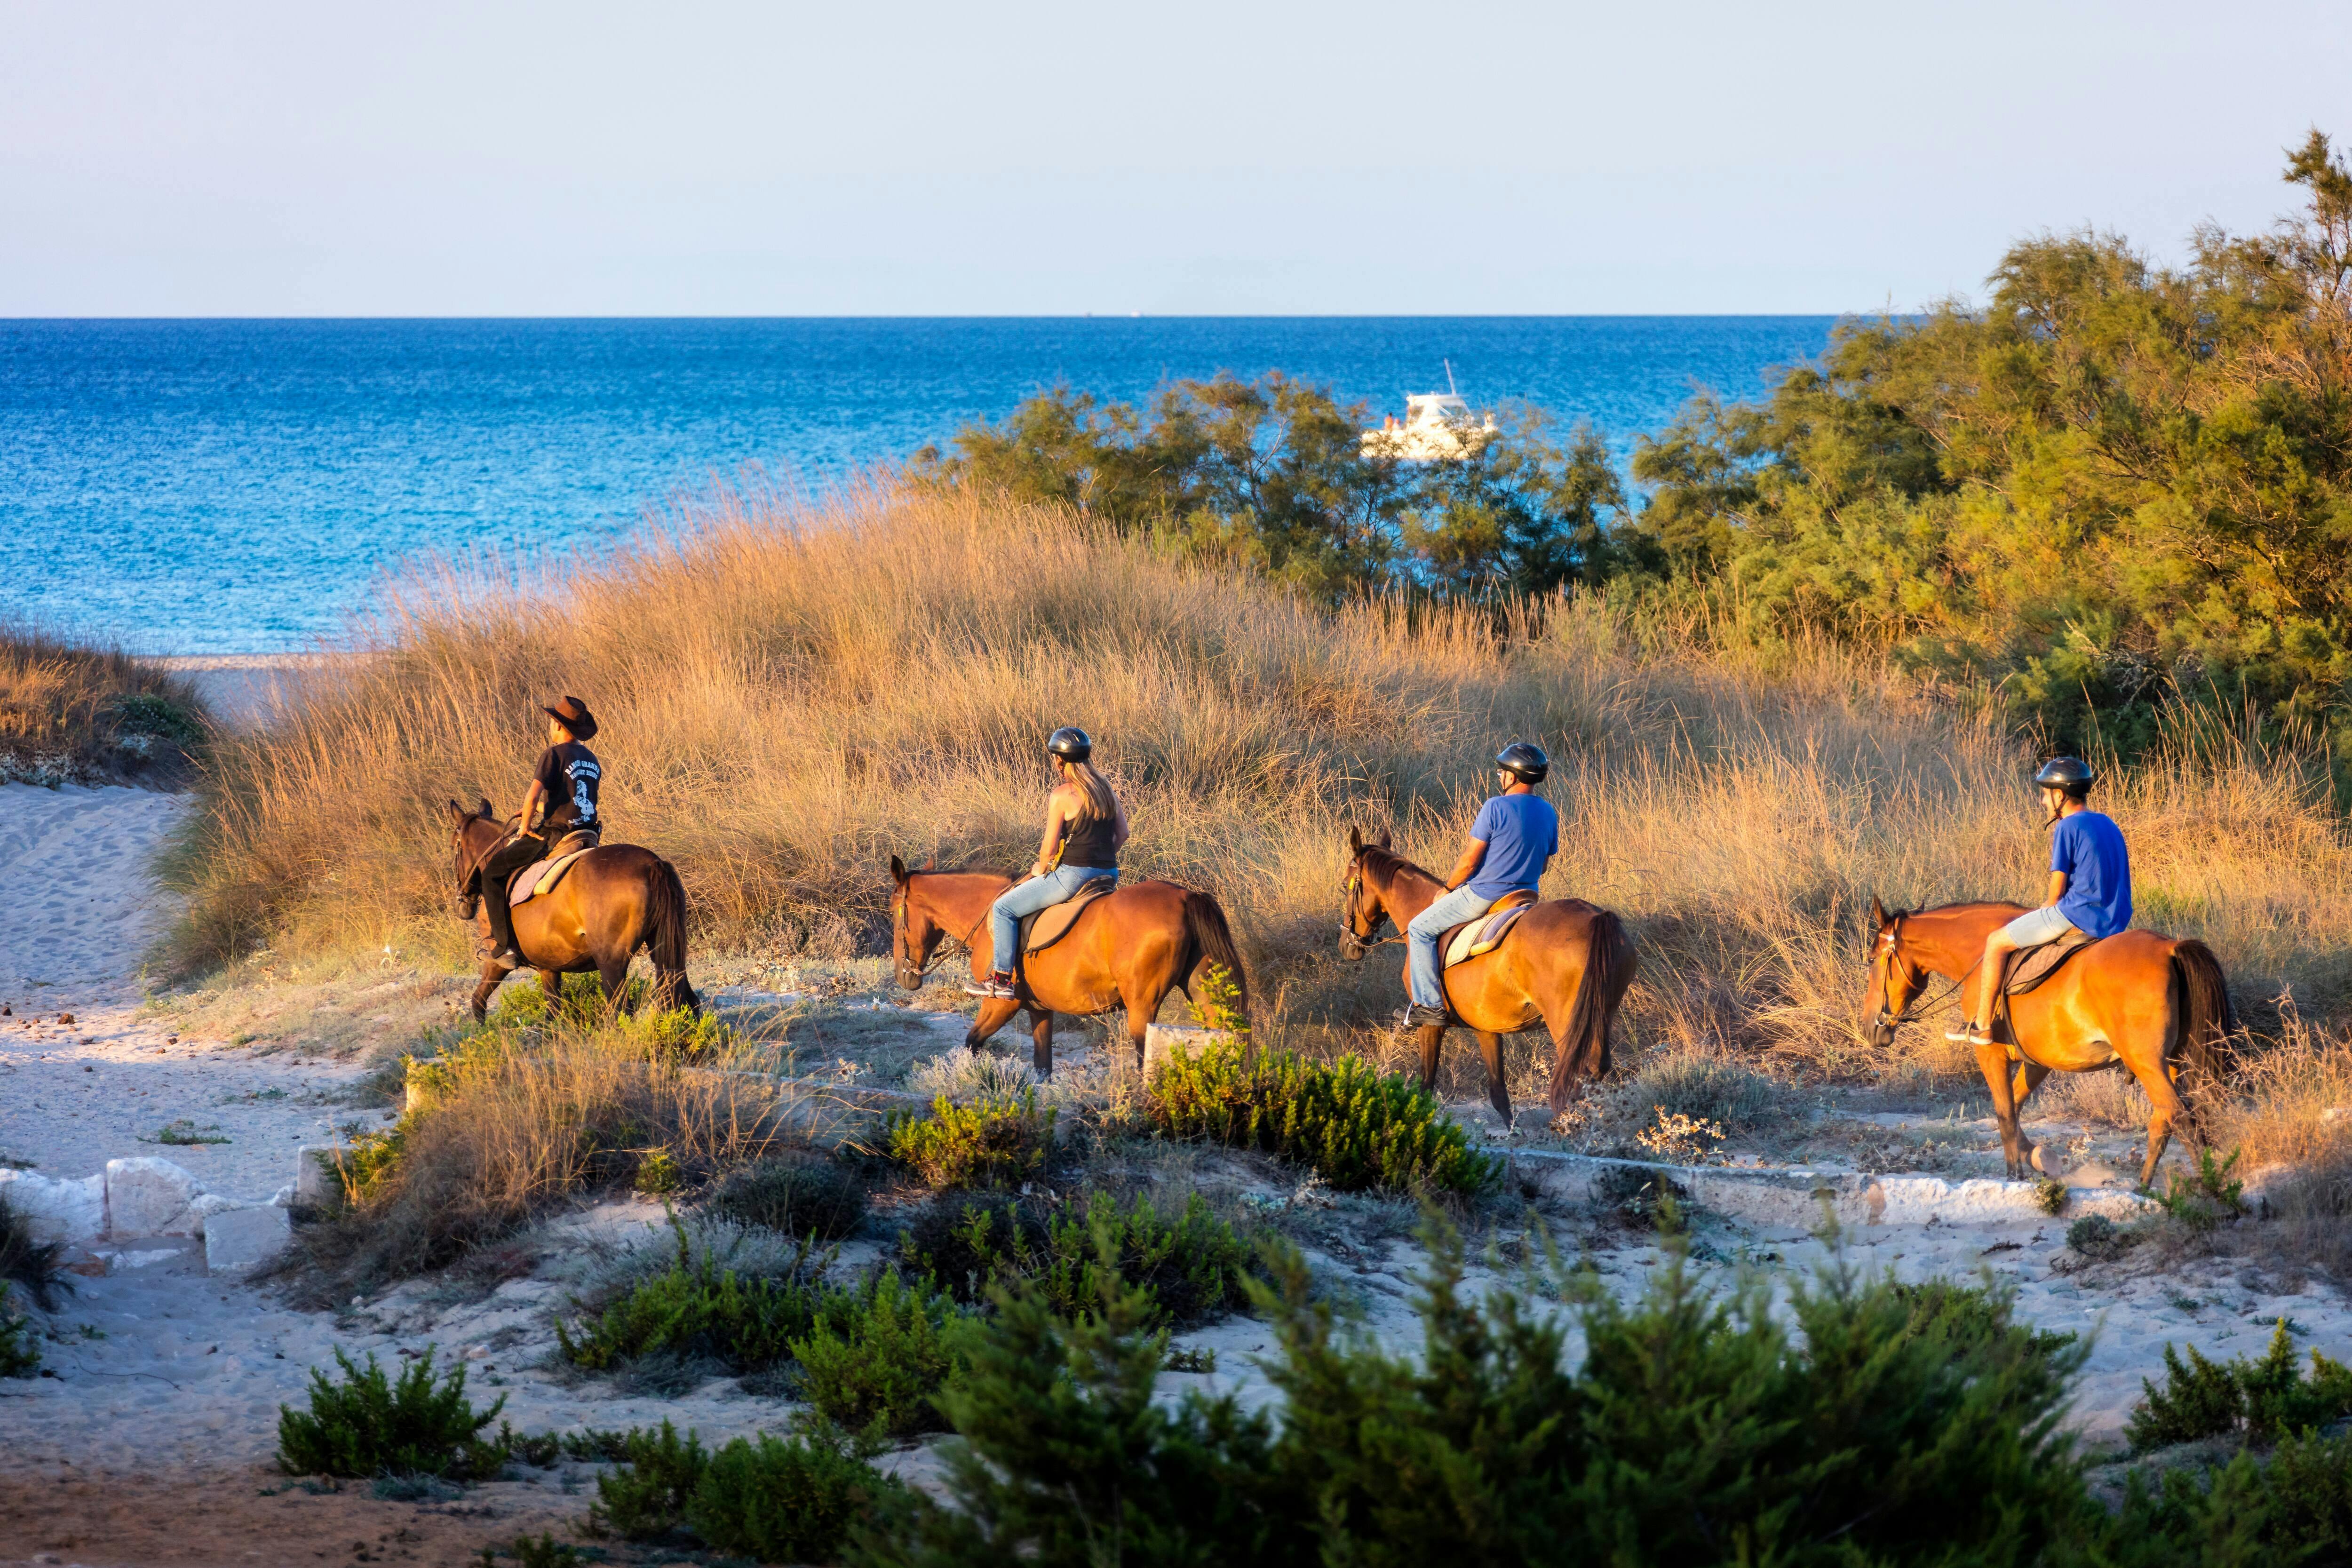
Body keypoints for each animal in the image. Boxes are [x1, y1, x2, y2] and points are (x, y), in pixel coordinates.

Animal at [442, 804, 691, 1025]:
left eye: (454, 847)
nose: (463, 906)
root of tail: (653, 864)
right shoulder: (549, 969)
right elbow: (552, 1015)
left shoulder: (498, 963)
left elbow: (478, 1001)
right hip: (665, 953)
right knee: (685, 1000)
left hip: (611, 963)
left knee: (621, 1013)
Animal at [884, 860, 1251, 1081]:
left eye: (894, 912)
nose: (904, 976)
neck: (989, 913)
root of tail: (1185, 896)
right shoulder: (1039, 1010)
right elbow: (1042, 1066)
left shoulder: (1001, 1004)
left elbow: (972, 1044)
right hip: (1208, 999)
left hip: (1142, 1009)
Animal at [1345, 822, 1637, 1128]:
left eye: (1345, 886)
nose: (1348, 945)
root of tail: (1597, 918)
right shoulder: (1486, 1028)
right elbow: (1498, 1093)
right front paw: (1513, 1132)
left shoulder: (1430, 1025)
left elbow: (1426, 1085)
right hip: (1601, 1014)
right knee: (1598, 1069)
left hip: (1567, 1023)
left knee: (1580, 1073)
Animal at [1863, 893, 2230, 1189]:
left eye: (1871, 961)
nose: (1870, 1029)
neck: (1980, 955)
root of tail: (2170, 948)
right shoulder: (2038, 1062)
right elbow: (2016, 1107)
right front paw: (2037, 1156)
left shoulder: (1991, 1056)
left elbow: (2005, 1114)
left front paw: (2015, 1175)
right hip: (2172, 1064)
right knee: (2163, 1123)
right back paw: (2143, 1189)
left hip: (2147, 1063)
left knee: (2183, 1120)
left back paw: (2209, 1192)